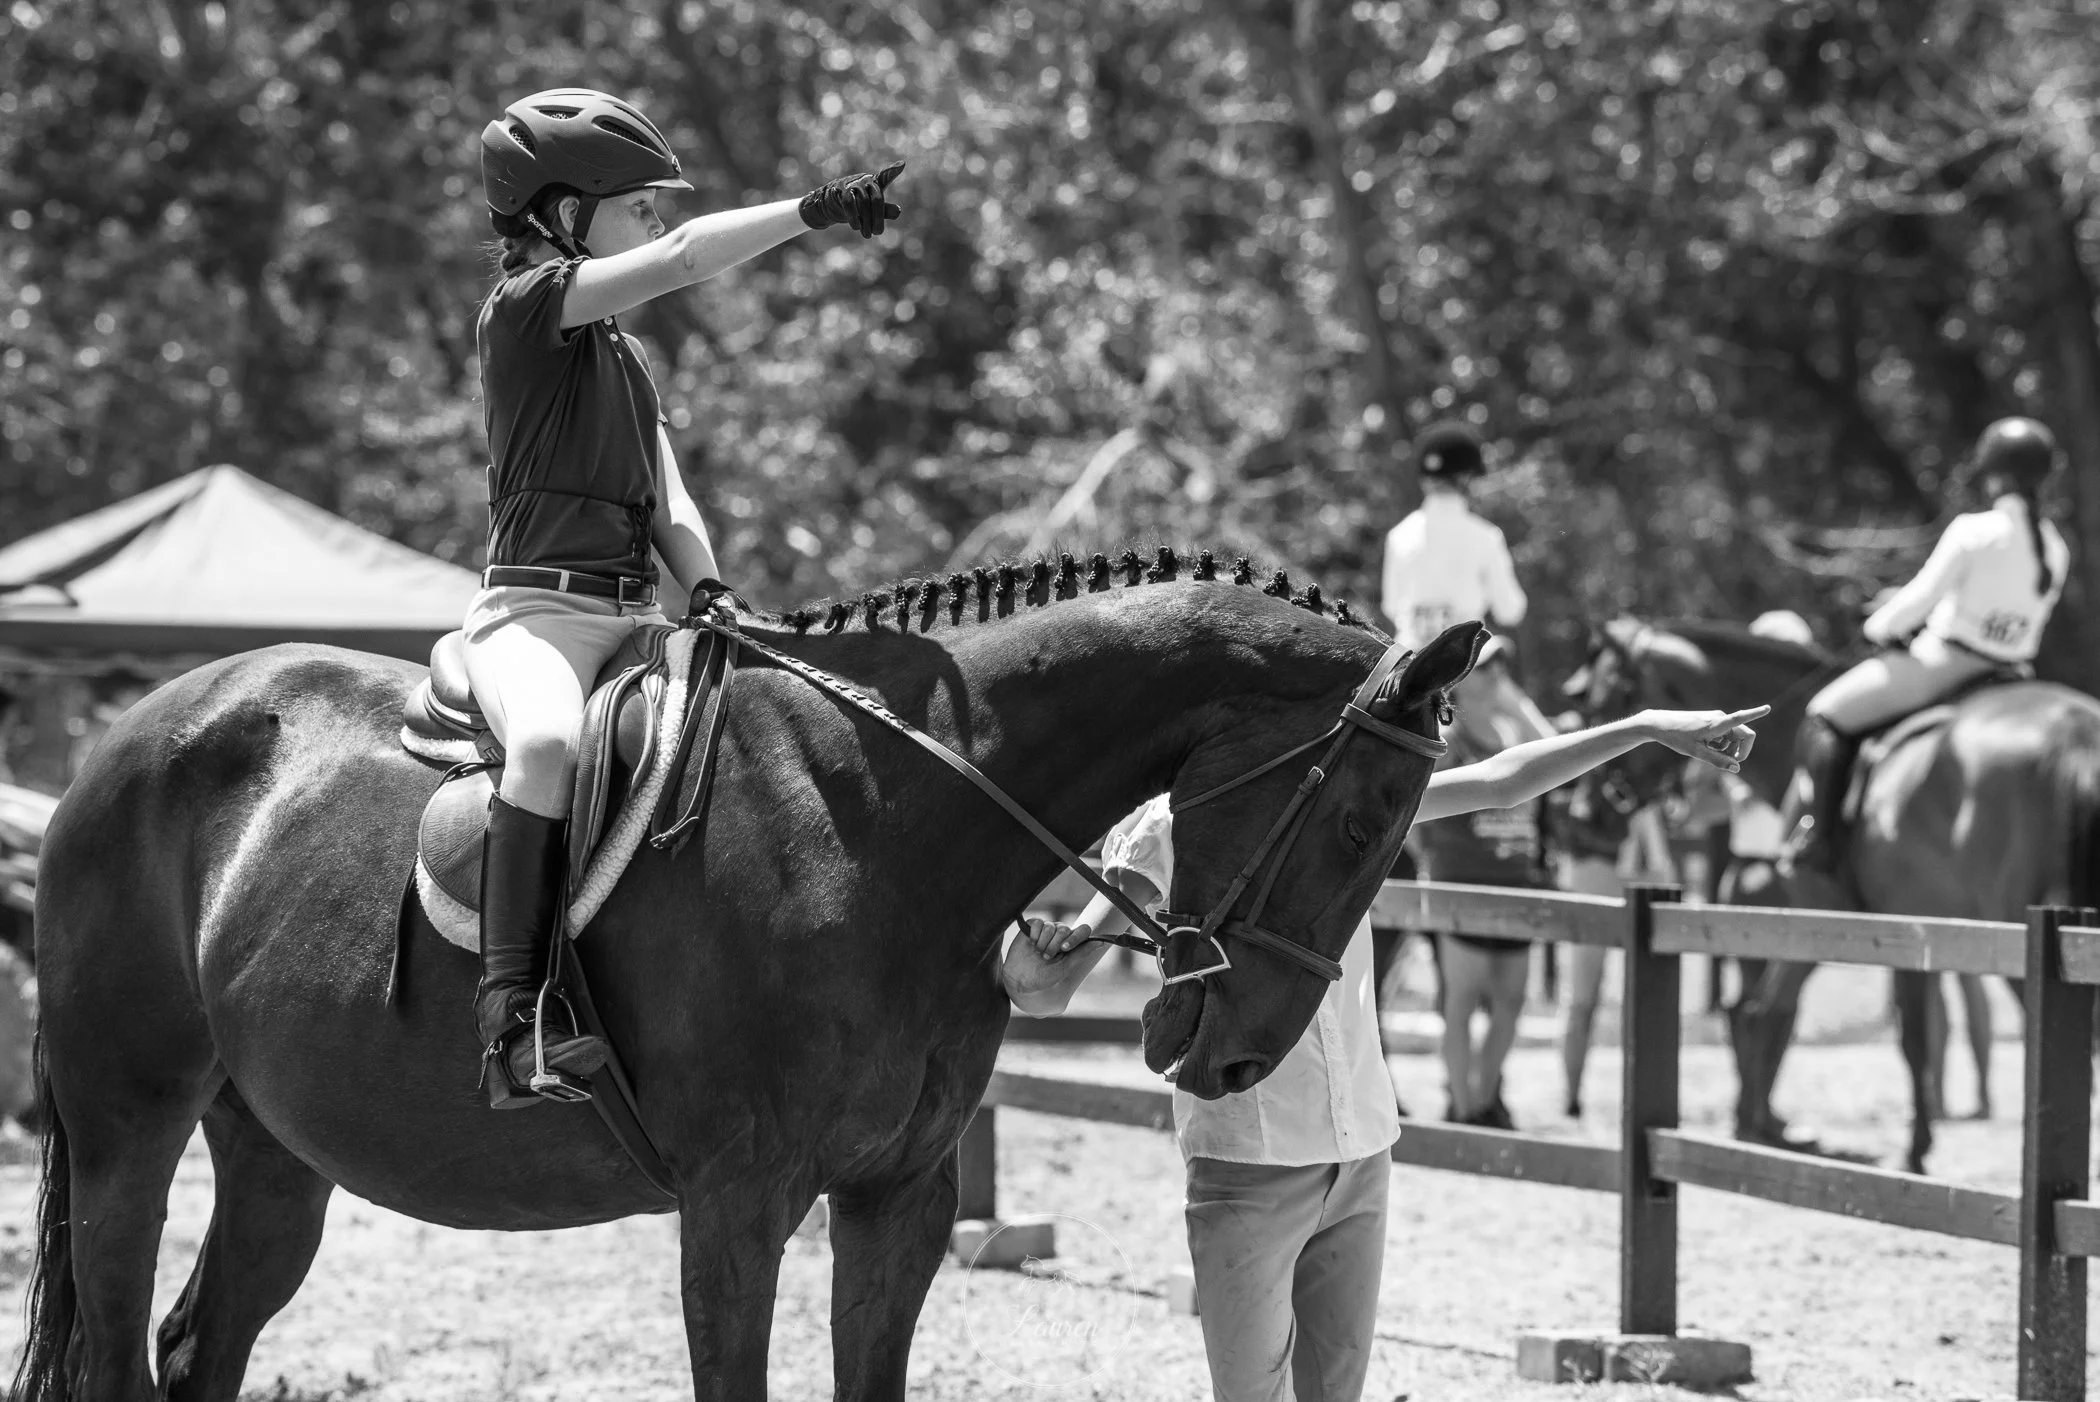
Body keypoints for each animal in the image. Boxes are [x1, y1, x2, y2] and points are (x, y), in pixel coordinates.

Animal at [11, 548, 1483, 1402]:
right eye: (1365, 821)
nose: (1234, 1054)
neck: (890, 818)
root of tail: (125, 734)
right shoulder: (737, 1201)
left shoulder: (898, 1198)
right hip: (127, 1127)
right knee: (116, 1352)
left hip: (275, 1153)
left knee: (201, 1344)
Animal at [1564, 616, 2100, 1172]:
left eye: (1607, 699)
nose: (1586, 815)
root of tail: (2074, 731)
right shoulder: (1908, 929)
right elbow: (1905, 1033)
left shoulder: (1824, 917)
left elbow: (1777, 1013)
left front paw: (1756, 1130)